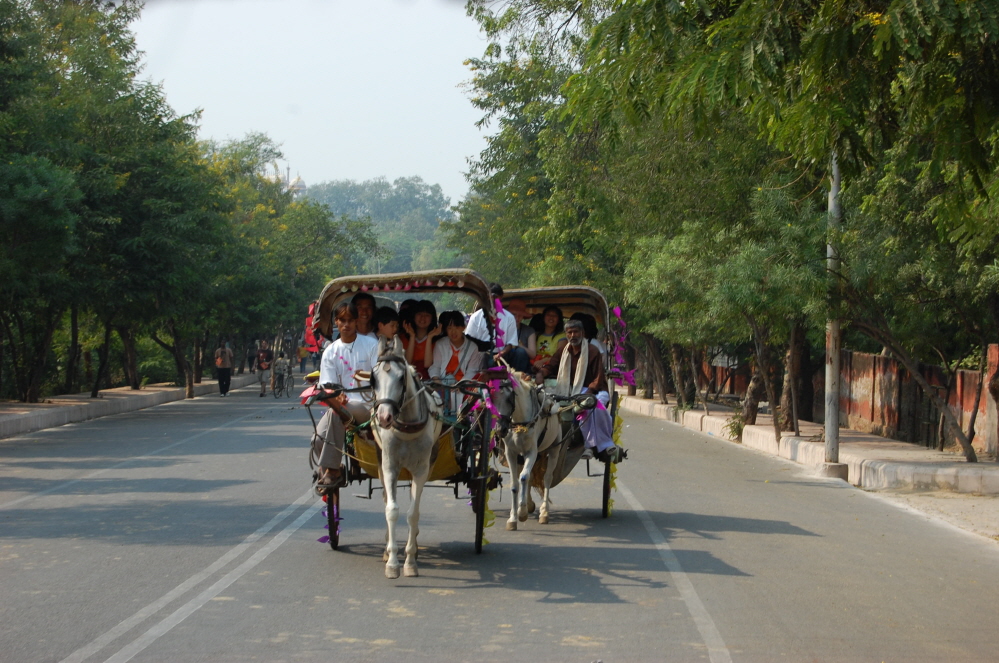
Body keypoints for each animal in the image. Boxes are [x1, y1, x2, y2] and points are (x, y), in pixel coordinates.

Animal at [372, 334, 442, 580]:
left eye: (402, 377)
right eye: (373, 378)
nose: (384, 417)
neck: (406, 426)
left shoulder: (421, 470)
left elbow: (413, 513)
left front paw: (410, 561)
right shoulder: (389, 467)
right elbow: (392, 510)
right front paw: (392, 563)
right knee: (386, 499)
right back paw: (386, 548)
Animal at [492, 374, 564, 528]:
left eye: (509, 398)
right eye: (491, 398)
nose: (500, 429)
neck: (520, 423)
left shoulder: (532, 452)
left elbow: (524, 477)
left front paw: (522, 513)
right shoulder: (511, 453)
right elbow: (515, 483)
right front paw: (513, 518)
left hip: (554, 448)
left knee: (547, 478)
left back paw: (544, 512)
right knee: (529, 477)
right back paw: (529, 505)